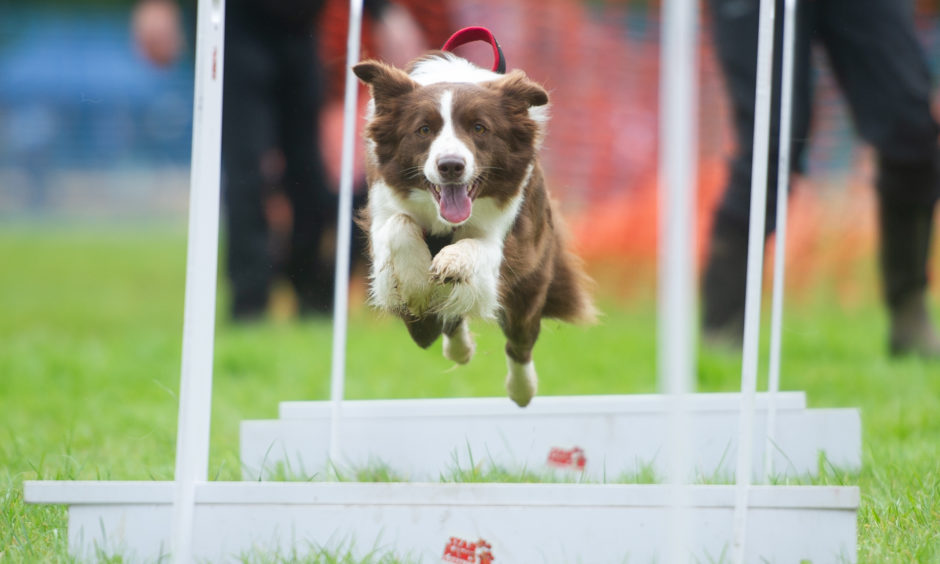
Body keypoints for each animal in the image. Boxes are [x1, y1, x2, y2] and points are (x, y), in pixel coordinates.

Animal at [352, 51, 596, 406]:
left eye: (480, 128)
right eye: (423, 129)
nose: (451, 166)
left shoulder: (504, 237)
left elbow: (479, 247)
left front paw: (452, 261)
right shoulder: (385, 219)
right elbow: (400, 226)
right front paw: (416, 282)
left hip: (530, 282)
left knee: (520, 342)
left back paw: (522, 390)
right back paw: (460, 348)